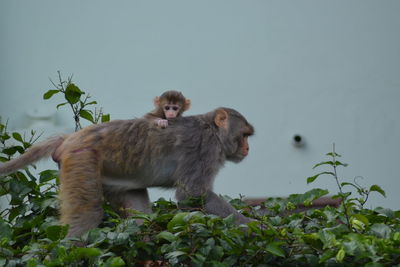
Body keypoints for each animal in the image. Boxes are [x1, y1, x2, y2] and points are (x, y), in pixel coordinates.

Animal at [0, 108, 255, 238]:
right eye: (244, 135)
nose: (247, 148)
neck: (213, 130)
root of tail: (69, 139)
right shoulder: (204, 149)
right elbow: (192, 195)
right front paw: (254, 226)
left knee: (140, 215)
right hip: (81, 157)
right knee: (87, 216)